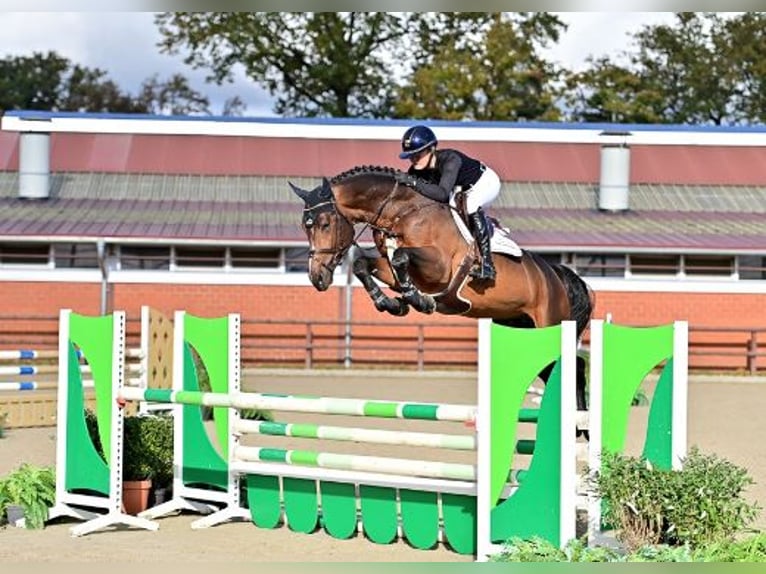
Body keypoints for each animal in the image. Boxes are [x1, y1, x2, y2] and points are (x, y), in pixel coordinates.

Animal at [292, 166, 596, 418]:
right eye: (305, 227)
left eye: (325, 224)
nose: (317, 277)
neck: (403, 212)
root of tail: (558, 275)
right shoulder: (395, 268)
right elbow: (363, 264)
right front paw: (390, 303)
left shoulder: (438, 268)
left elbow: (401, 257)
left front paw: (417, 300)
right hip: (522, 327)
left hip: (551, 324)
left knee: (575, 368)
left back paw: (580, 424)